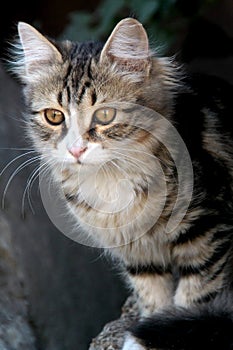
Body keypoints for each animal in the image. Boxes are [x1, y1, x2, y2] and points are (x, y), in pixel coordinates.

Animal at [10, 17, 233, 350]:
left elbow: (193, 297)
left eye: (104, 115)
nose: (75, 149)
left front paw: (164, 333)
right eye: (54, 116)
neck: (111, 180)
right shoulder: (137, 253)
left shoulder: (206, 232)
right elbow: (152, 296)